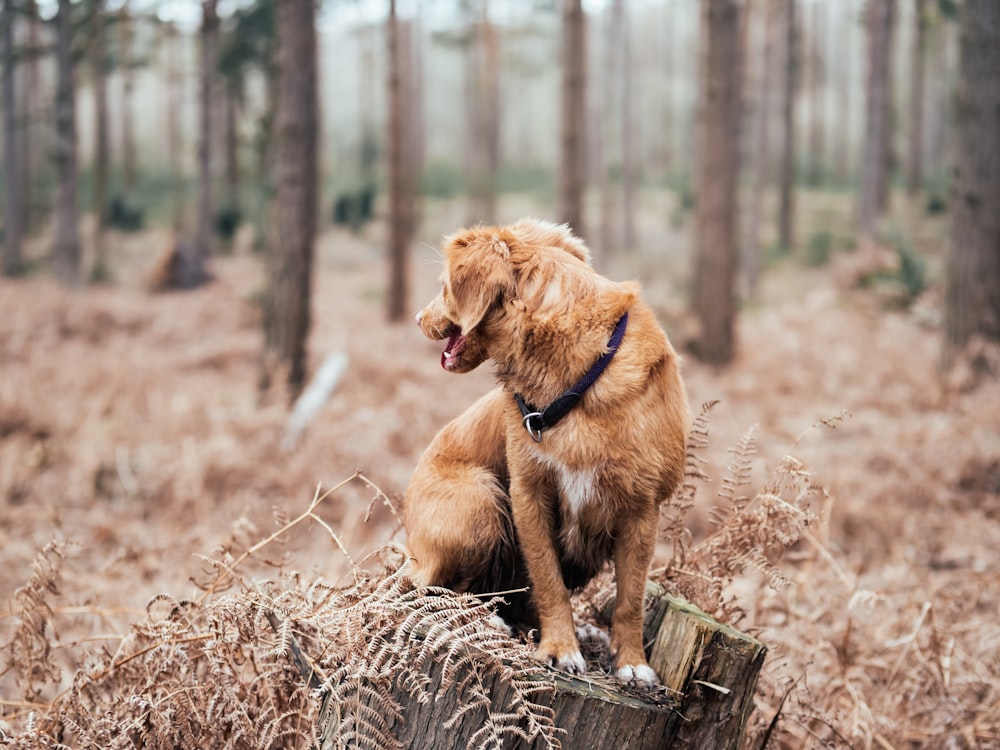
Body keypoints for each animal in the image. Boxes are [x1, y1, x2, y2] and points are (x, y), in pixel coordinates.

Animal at [404, 217, 688, 688]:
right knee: (428, 589)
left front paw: (632, 662)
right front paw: (560, 648)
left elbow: (630, 598)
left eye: (443, 286)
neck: (576, 375)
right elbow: (548, 579)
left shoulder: (641, 509)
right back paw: (487, 618)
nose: (417, 319)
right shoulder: (529, 494)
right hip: (480, 500)